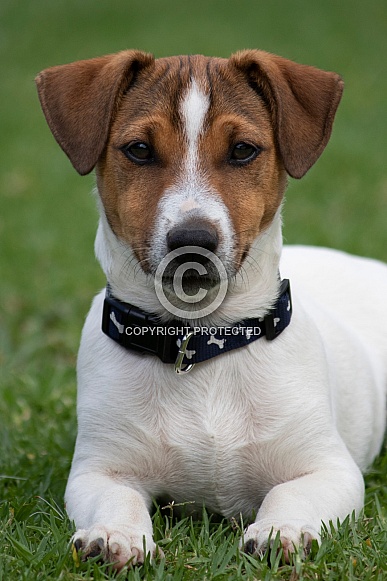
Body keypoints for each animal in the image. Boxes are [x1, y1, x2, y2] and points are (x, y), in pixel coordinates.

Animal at [34, 48, 386, 568]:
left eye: (242, 150)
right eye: (139, 150)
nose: (193, 241)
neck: (202, 341)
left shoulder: (328, 469)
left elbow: (291, 493)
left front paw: (283, 529)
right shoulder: (99, 470)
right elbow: (116, 498)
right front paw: (114, 534)